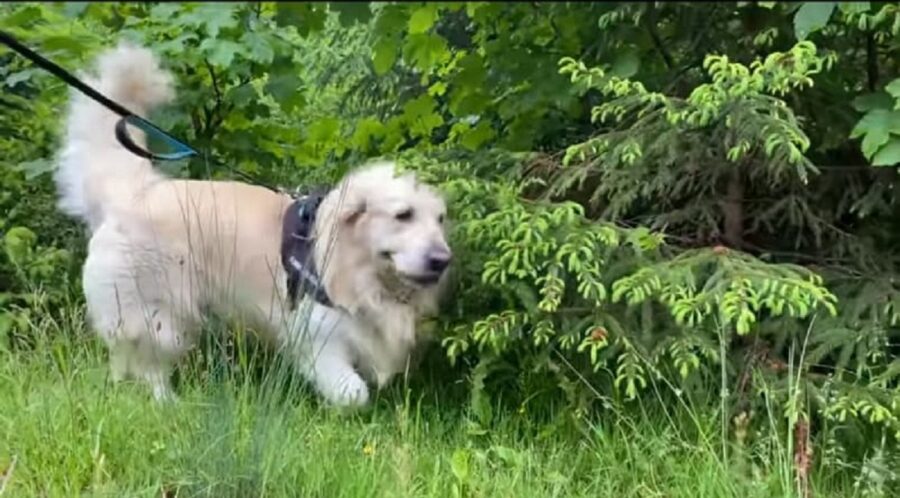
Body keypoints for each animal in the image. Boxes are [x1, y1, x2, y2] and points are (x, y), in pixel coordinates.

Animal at [52, 43, 454, 408]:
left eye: (440, 220)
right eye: (403, 215)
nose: (442, 260)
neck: (358, 267)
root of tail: (136, 191)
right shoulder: (315, 335)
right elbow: (352, 392)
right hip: (158, 318)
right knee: (149, 366)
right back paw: (167, 403)